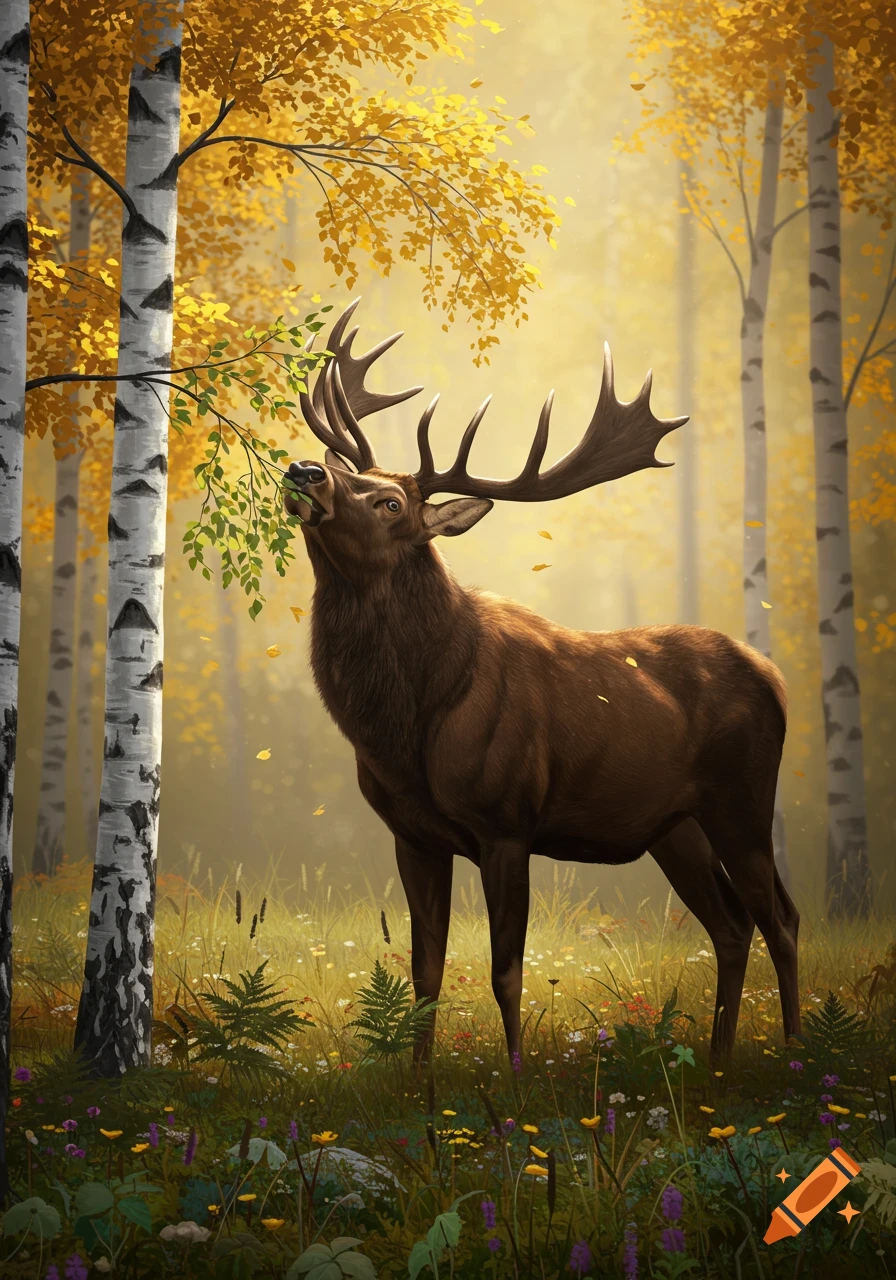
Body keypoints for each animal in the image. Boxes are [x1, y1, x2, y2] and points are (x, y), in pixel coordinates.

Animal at [283, 299, 800, 1065]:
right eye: (356, 476)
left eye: (391, 505)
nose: (305, 470)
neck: (409, 725)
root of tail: (775, 677)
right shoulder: (413, 834)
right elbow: (425, 971)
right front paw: (416, 1080)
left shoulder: (508, 821)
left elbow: (506, 972)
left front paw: (520, 1078)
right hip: (675, 827)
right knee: (732, 926)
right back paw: (717, 1063)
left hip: (742, 799)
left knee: (782, 918)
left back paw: (797, 1054)